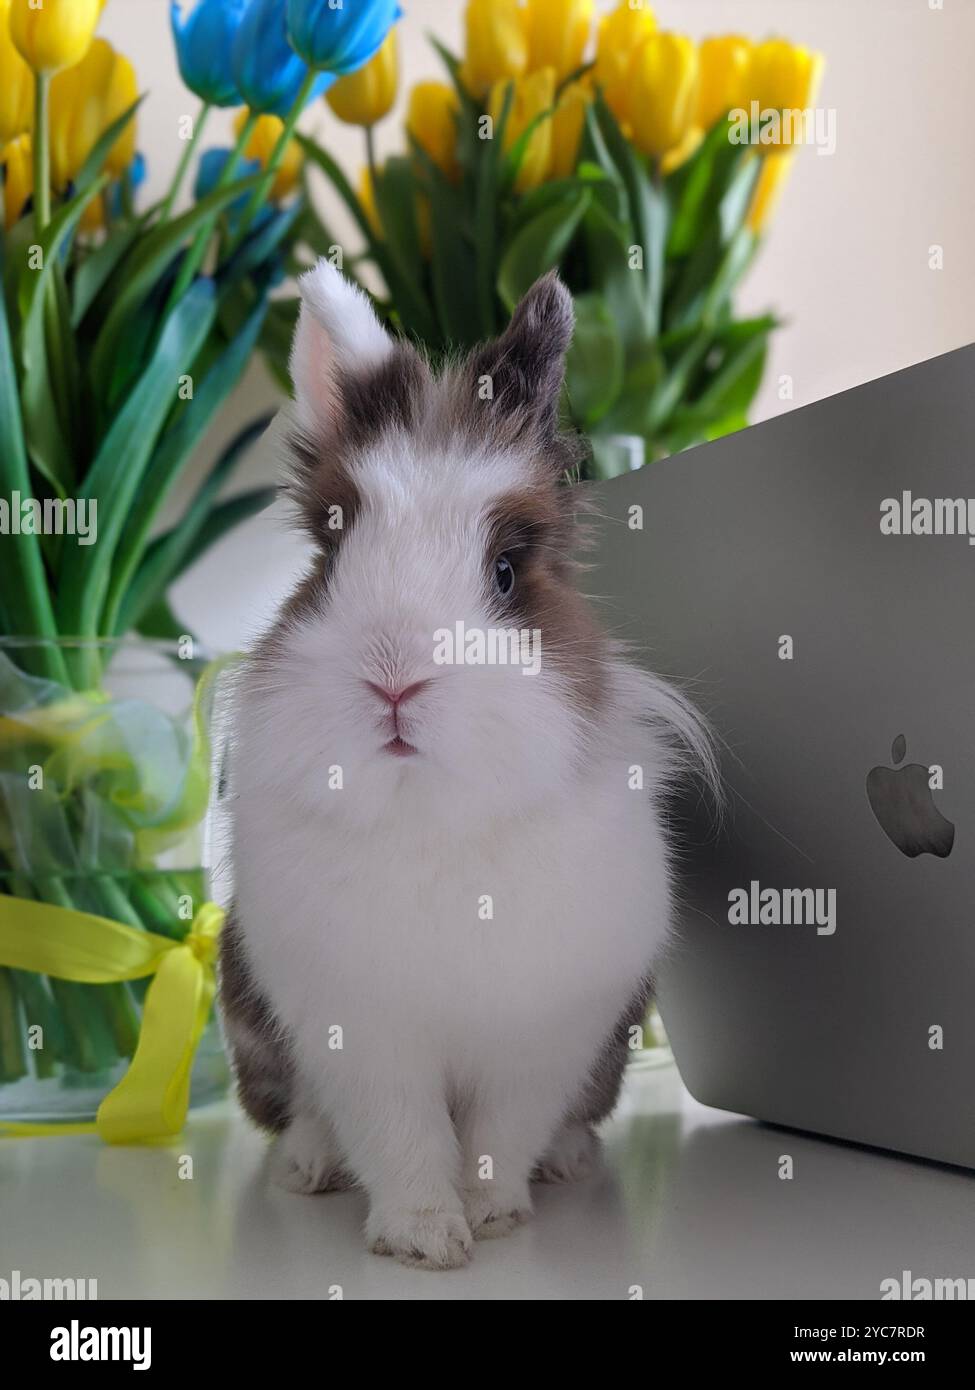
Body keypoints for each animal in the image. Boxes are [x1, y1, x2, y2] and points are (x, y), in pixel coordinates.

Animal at [221, 259, 717, 1270]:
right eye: (332, 548)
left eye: (504, 572)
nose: (394, 679)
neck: (429, 814)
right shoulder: (362, 1034)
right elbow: (401, 1137)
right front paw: (422, 1239)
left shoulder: (544, 1033)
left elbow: (500, 1131)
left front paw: (491, 1214)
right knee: (305, 1120)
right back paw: (307, 1167)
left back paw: (565, 1162)